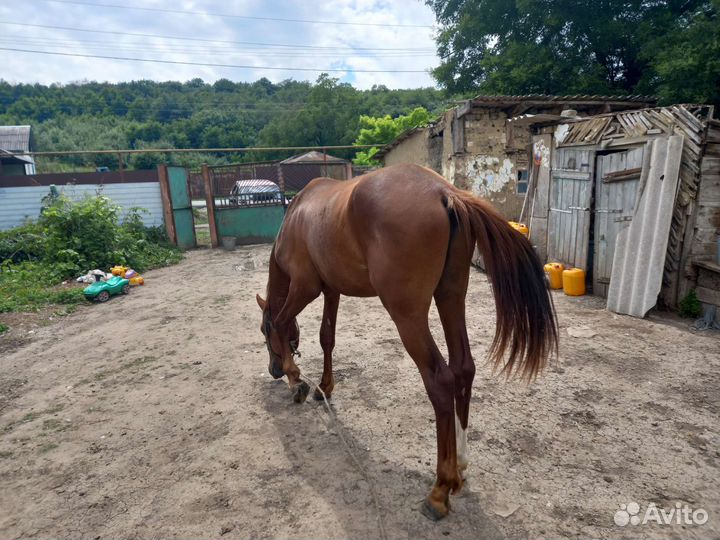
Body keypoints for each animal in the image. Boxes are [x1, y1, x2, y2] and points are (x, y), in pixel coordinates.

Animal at [256, 164, 558, 520]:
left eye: (262, 333)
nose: (274, 370)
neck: (297, 218)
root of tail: (446, 193)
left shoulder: (305, 287)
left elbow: (282, 321)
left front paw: (296, 380)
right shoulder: (332, 290)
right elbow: (326, 337)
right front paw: (323, 387)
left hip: (408, 316)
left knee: (440, 380)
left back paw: (440, 490)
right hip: (450, 298)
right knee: (463, 369)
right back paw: (460, 467)